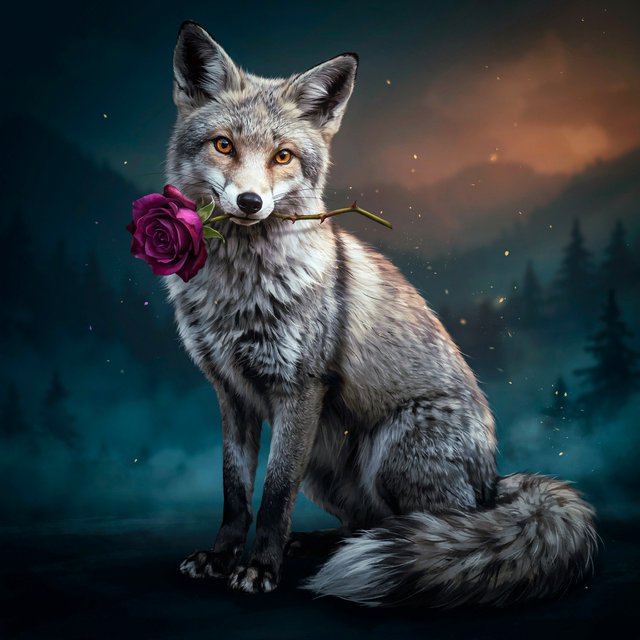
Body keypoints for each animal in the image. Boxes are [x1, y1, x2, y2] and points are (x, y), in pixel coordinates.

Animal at [165, 20, 597, 607]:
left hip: (387, 452)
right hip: (325, 465)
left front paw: (259, 569)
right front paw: (221, 556)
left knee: (430, 529)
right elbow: (236, 493)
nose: (251, 202)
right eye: (224, 145)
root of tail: (492, 485)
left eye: (283, 156)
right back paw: (325, 544)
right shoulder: (231, 393)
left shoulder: (299, 389)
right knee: (366, 523)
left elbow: (274, 495)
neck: (237, 293)